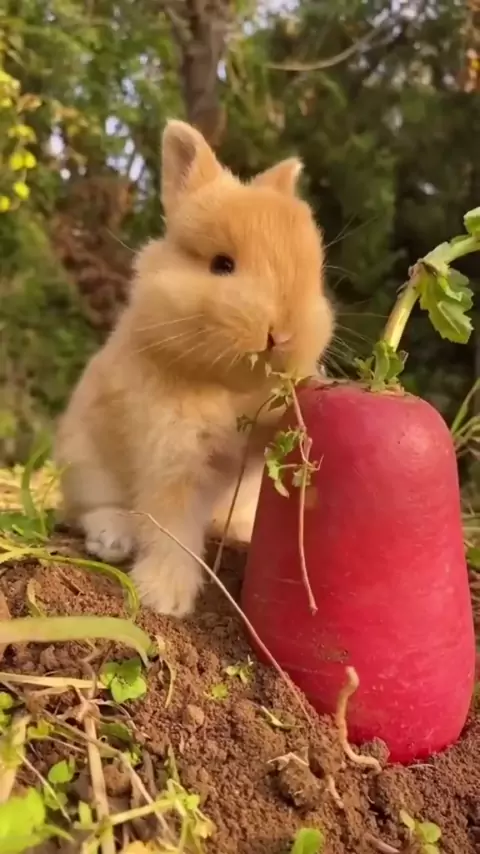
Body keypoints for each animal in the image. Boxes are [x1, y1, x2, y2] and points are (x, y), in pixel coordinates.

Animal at [54, 119, 334, 617]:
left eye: (312, 274)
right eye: (222, 265)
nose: (282, 334)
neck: (223, 384)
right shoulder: (173, 458)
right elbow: (172, 528)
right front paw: (165, 598)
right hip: (84, 465)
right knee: (91, 509)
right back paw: (113, 538)